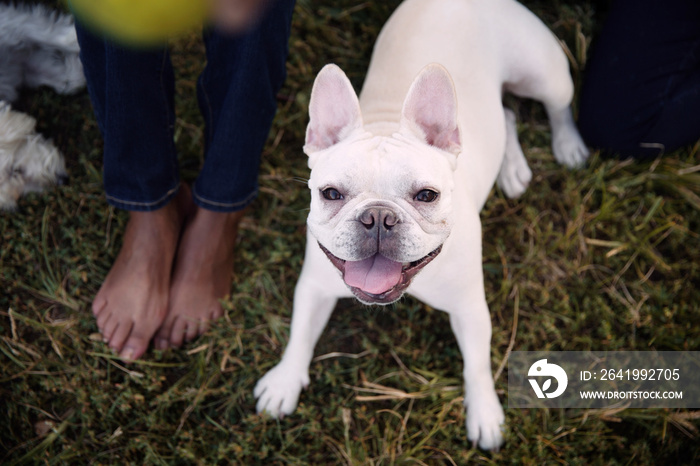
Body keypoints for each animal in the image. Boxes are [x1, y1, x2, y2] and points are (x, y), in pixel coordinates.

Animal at [0, 3, 84, 209]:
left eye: (15, 170)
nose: (62, 180)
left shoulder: (10, 25)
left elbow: (56, 35)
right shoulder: (28, 68)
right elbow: (69, 82)